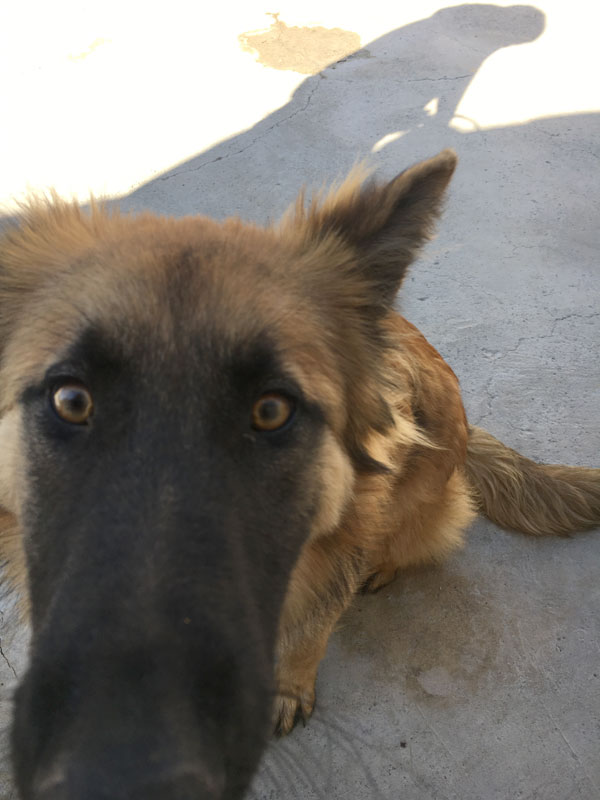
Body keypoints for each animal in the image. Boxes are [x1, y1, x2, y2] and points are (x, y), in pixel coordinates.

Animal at [0, 148, 596, 792]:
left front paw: (289, 687)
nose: (124, 764)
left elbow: (312, 630)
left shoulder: (336, 554)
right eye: (72, 400)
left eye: (271, 410)